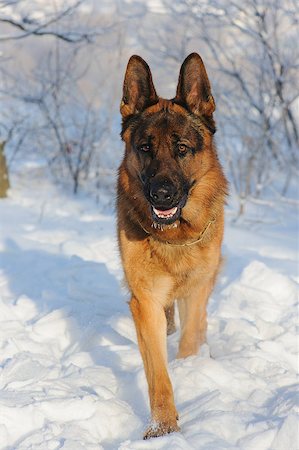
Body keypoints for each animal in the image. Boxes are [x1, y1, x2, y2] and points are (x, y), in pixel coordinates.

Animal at [117, 53, 227, 440]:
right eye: (145, 148)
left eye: (182, 148)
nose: (161, 195)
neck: (175, 238)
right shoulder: (145, 301)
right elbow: (158, 374)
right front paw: (163, 426)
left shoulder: (195, 290)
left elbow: (190, 338)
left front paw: (191, 369)